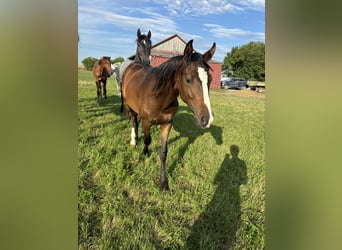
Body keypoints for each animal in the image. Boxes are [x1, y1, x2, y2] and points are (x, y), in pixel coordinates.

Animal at [121, 39, 215, 189]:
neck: (159, 96)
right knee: (134, 121)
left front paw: (163, 182)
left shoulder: (167, 123)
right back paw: (133, 141)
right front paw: (144, 155)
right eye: (188, 79)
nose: (207, 119)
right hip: (129, 106)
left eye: (209, 79)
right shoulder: (147, 122)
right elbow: (147, 140)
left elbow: (164, 152)